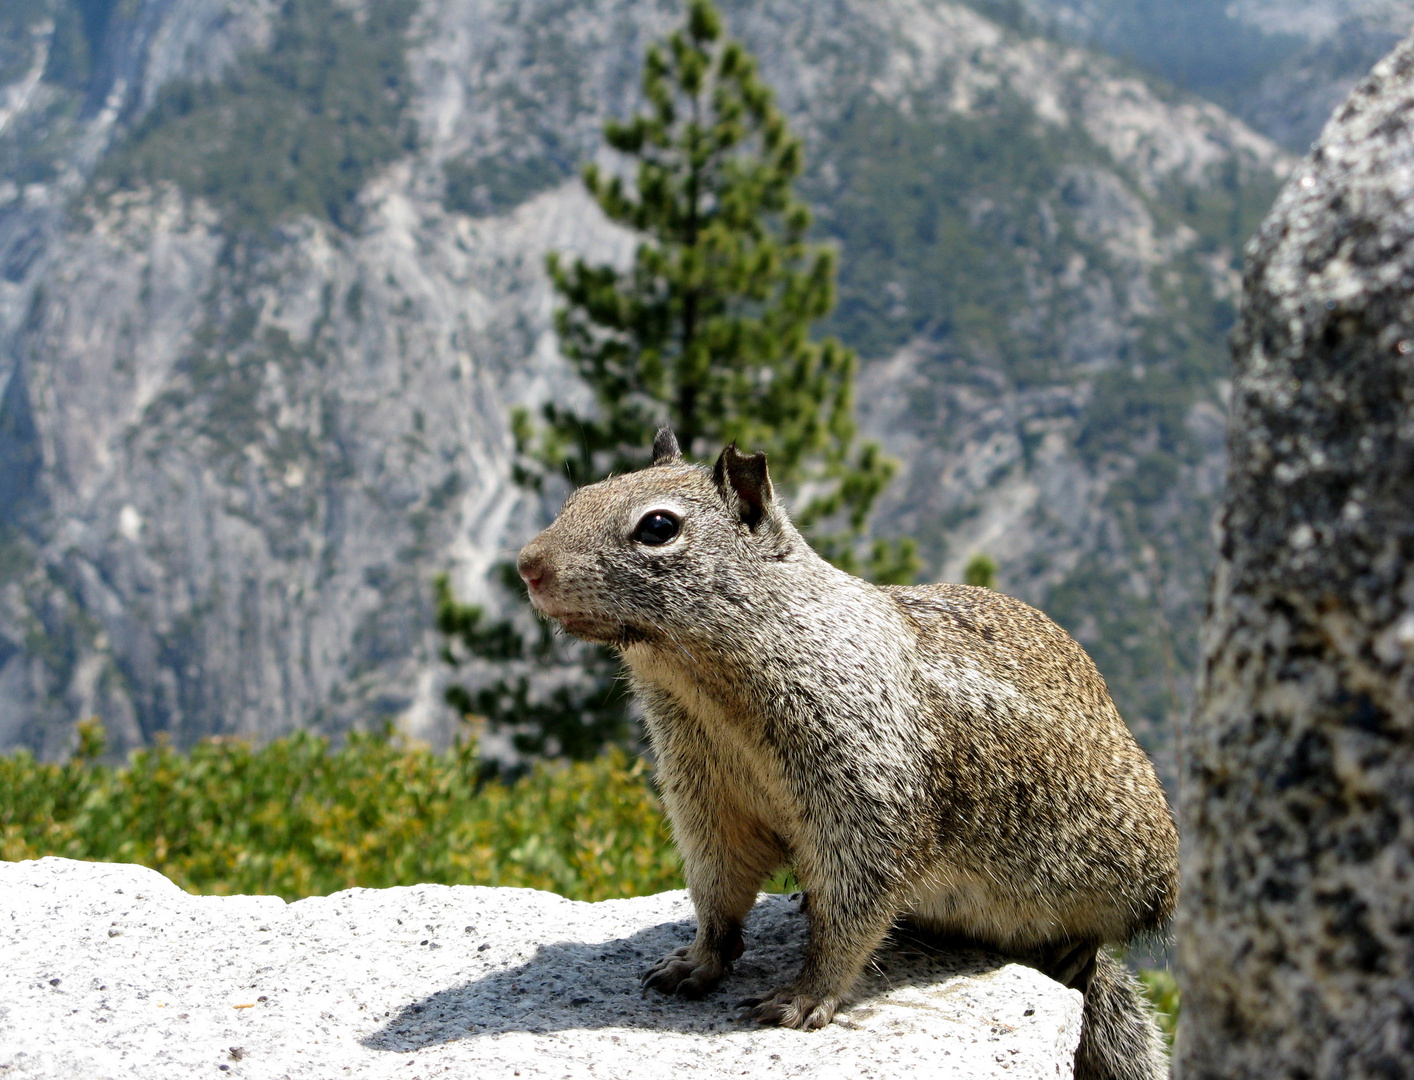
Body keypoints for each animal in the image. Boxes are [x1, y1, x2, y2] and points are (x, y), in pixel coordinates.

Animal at [514, 429, 1176, 1080]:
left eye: (658, 527)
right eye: (577, 495)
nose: (527, 565)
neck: (708, 695)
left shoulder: (864, 792)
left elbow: (851, 911)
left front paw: (803, 997)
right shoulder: (704, 793)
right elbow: (717, 889)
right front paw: (692, 962)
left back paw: (1072, 952)